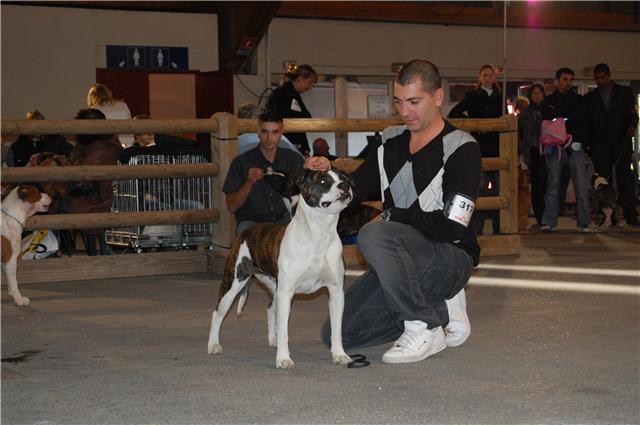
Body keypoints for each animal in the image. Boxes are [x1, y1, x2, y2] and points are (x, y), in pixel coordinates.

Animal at [208, 168, 352, 368]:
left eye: (345, 178)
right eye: (323, 181)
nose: (345, 185)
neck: (319, 233)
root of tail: (245, 232)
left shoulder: (336, 292)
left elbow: (336, 328)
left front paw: (339, 354)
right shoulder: (286, 293)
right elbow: (284, 329)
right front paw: (283, 359)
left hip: (274, 288)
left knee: (270, 309)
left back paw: (273, 339)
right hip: (234, 283)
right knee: (217, 313)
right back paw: (213, 345)